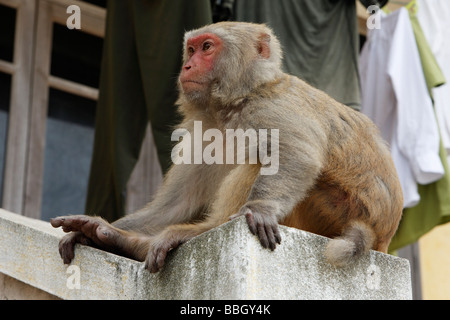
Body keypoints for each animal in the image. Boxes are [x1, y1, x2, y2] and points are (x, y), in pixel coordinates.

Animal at [51, 21, 402, 272]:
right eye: (191, 49)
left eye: (207, 48)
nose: (187, 67)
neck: (233, 104)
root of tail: (381, 237)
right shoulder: (203, 136)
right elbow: (176, 204)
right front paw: (103, 230)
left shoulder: (271, 107)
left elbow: (296, 154)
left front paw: (259, 209)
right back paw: (127, 241)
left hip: (330, 210)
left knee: (260, 160)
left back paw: (198, 231)